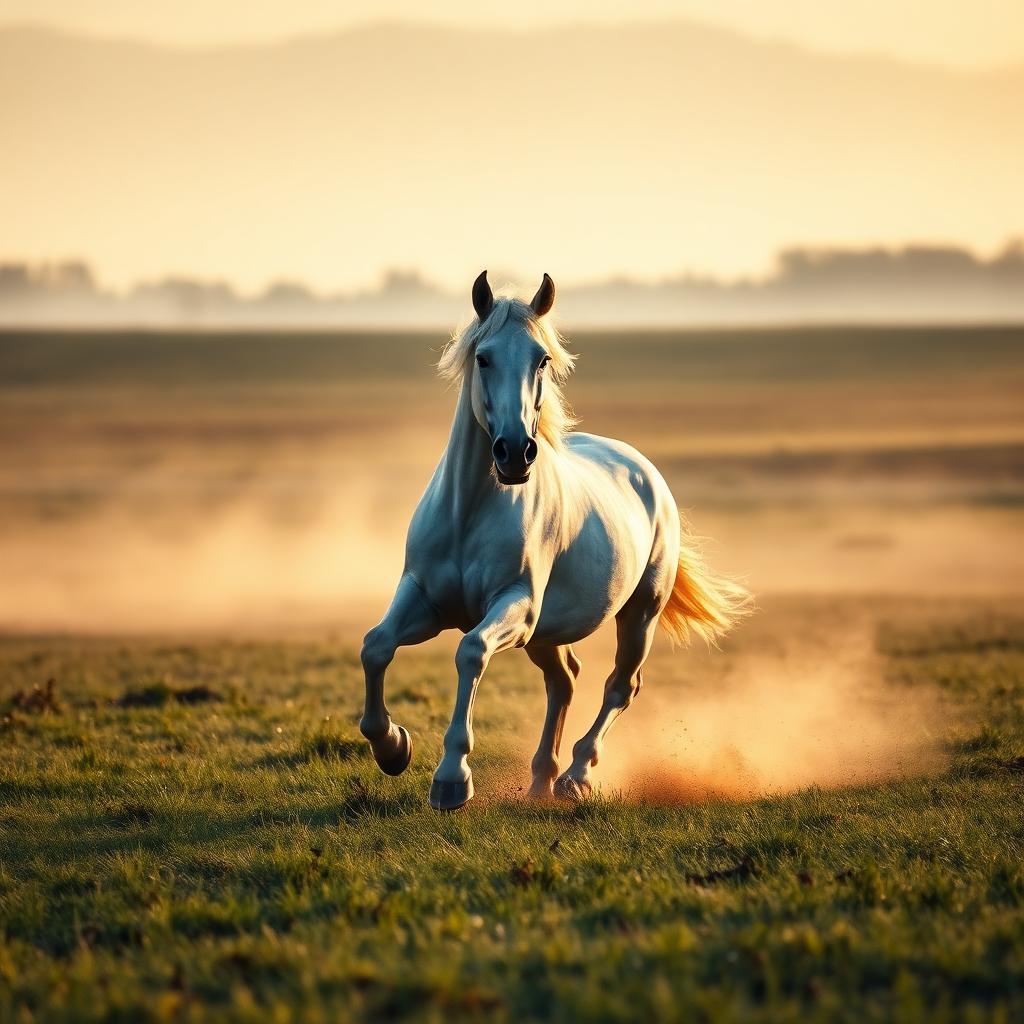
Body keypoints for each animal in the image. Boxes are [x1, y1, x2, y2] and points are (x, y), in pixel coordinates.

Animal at [359, 271, 751, 810]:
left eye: (541, 359)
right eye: (483, 357)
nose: (515, 452)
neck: (469, 513)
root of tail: (645, 471)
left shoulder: (517, 608)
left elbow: (471, 652)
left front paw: (452, 778)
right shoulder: (424, 598)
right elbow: (376, 646)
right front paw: (393, 747)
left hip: (638, 614)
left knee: (620, 686)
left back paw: (575, 777)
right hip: (548, 635)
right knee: (564, 681)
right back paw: (542, 778)